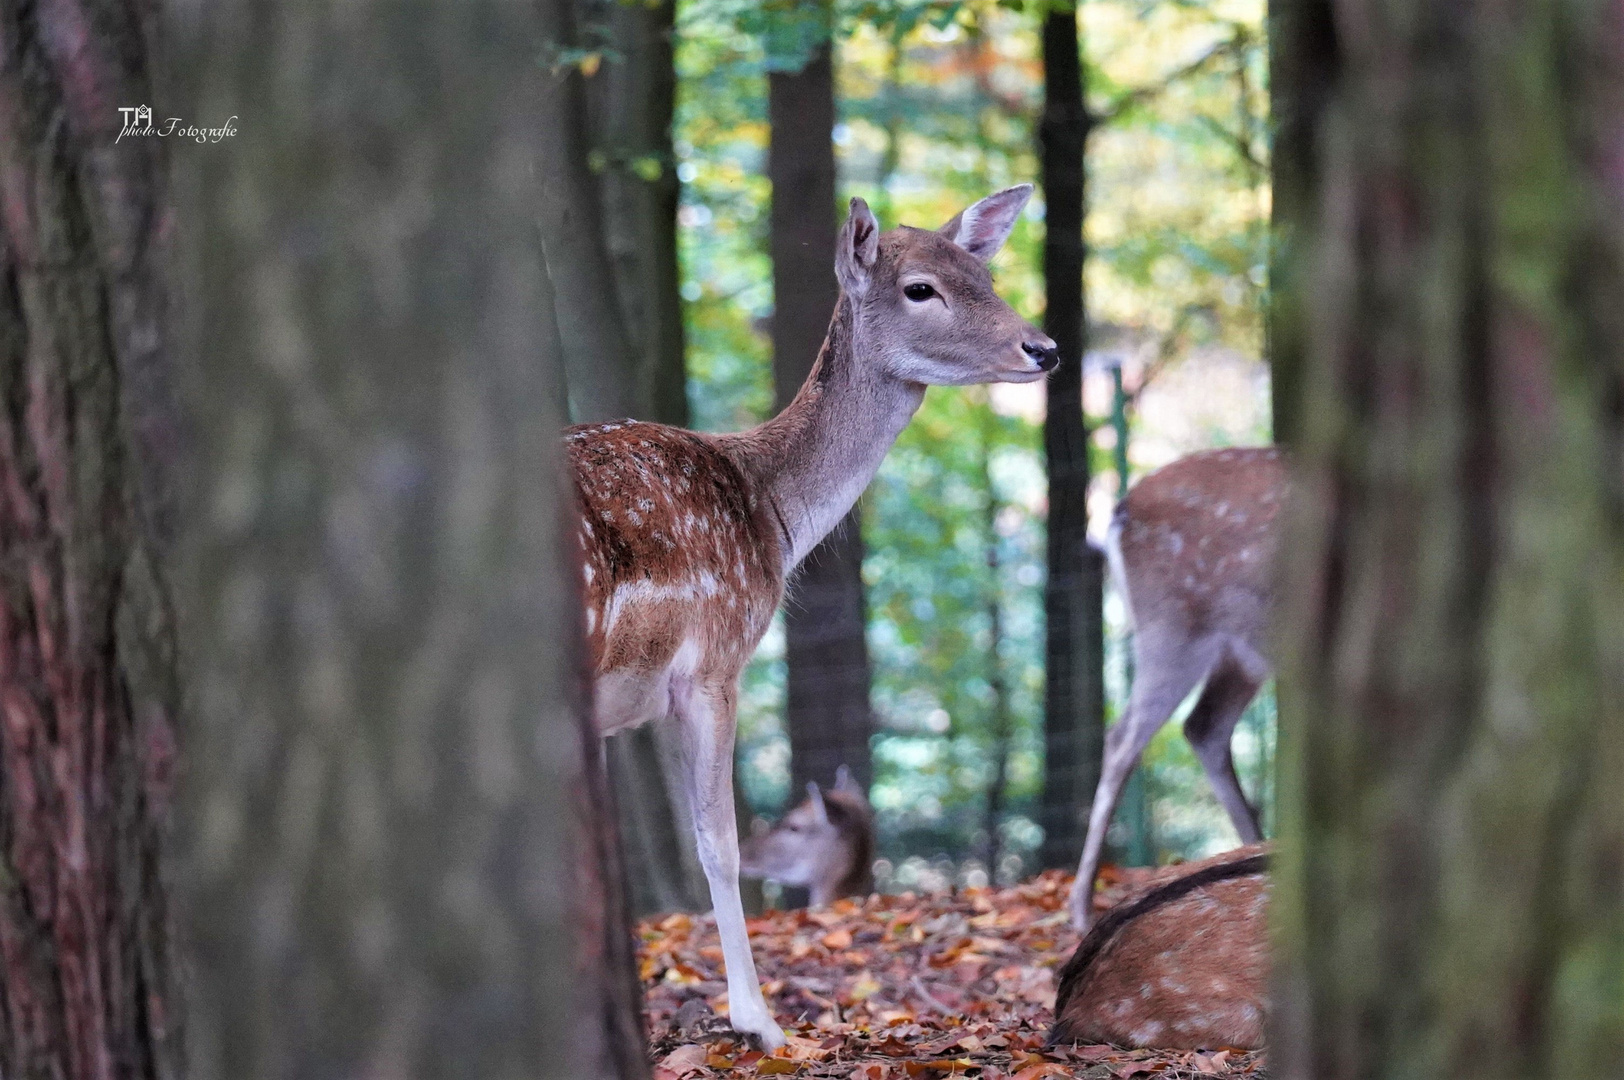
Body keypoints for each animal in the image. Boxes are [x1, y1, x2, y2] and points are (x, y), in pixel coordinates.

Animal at [1071, 444, 1286, 928]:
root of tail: (1119, 511)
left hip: (1242, 651)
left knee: (1203, 726)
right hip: (1172, 627)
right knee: (1123, 737)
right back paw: (1080, 909)